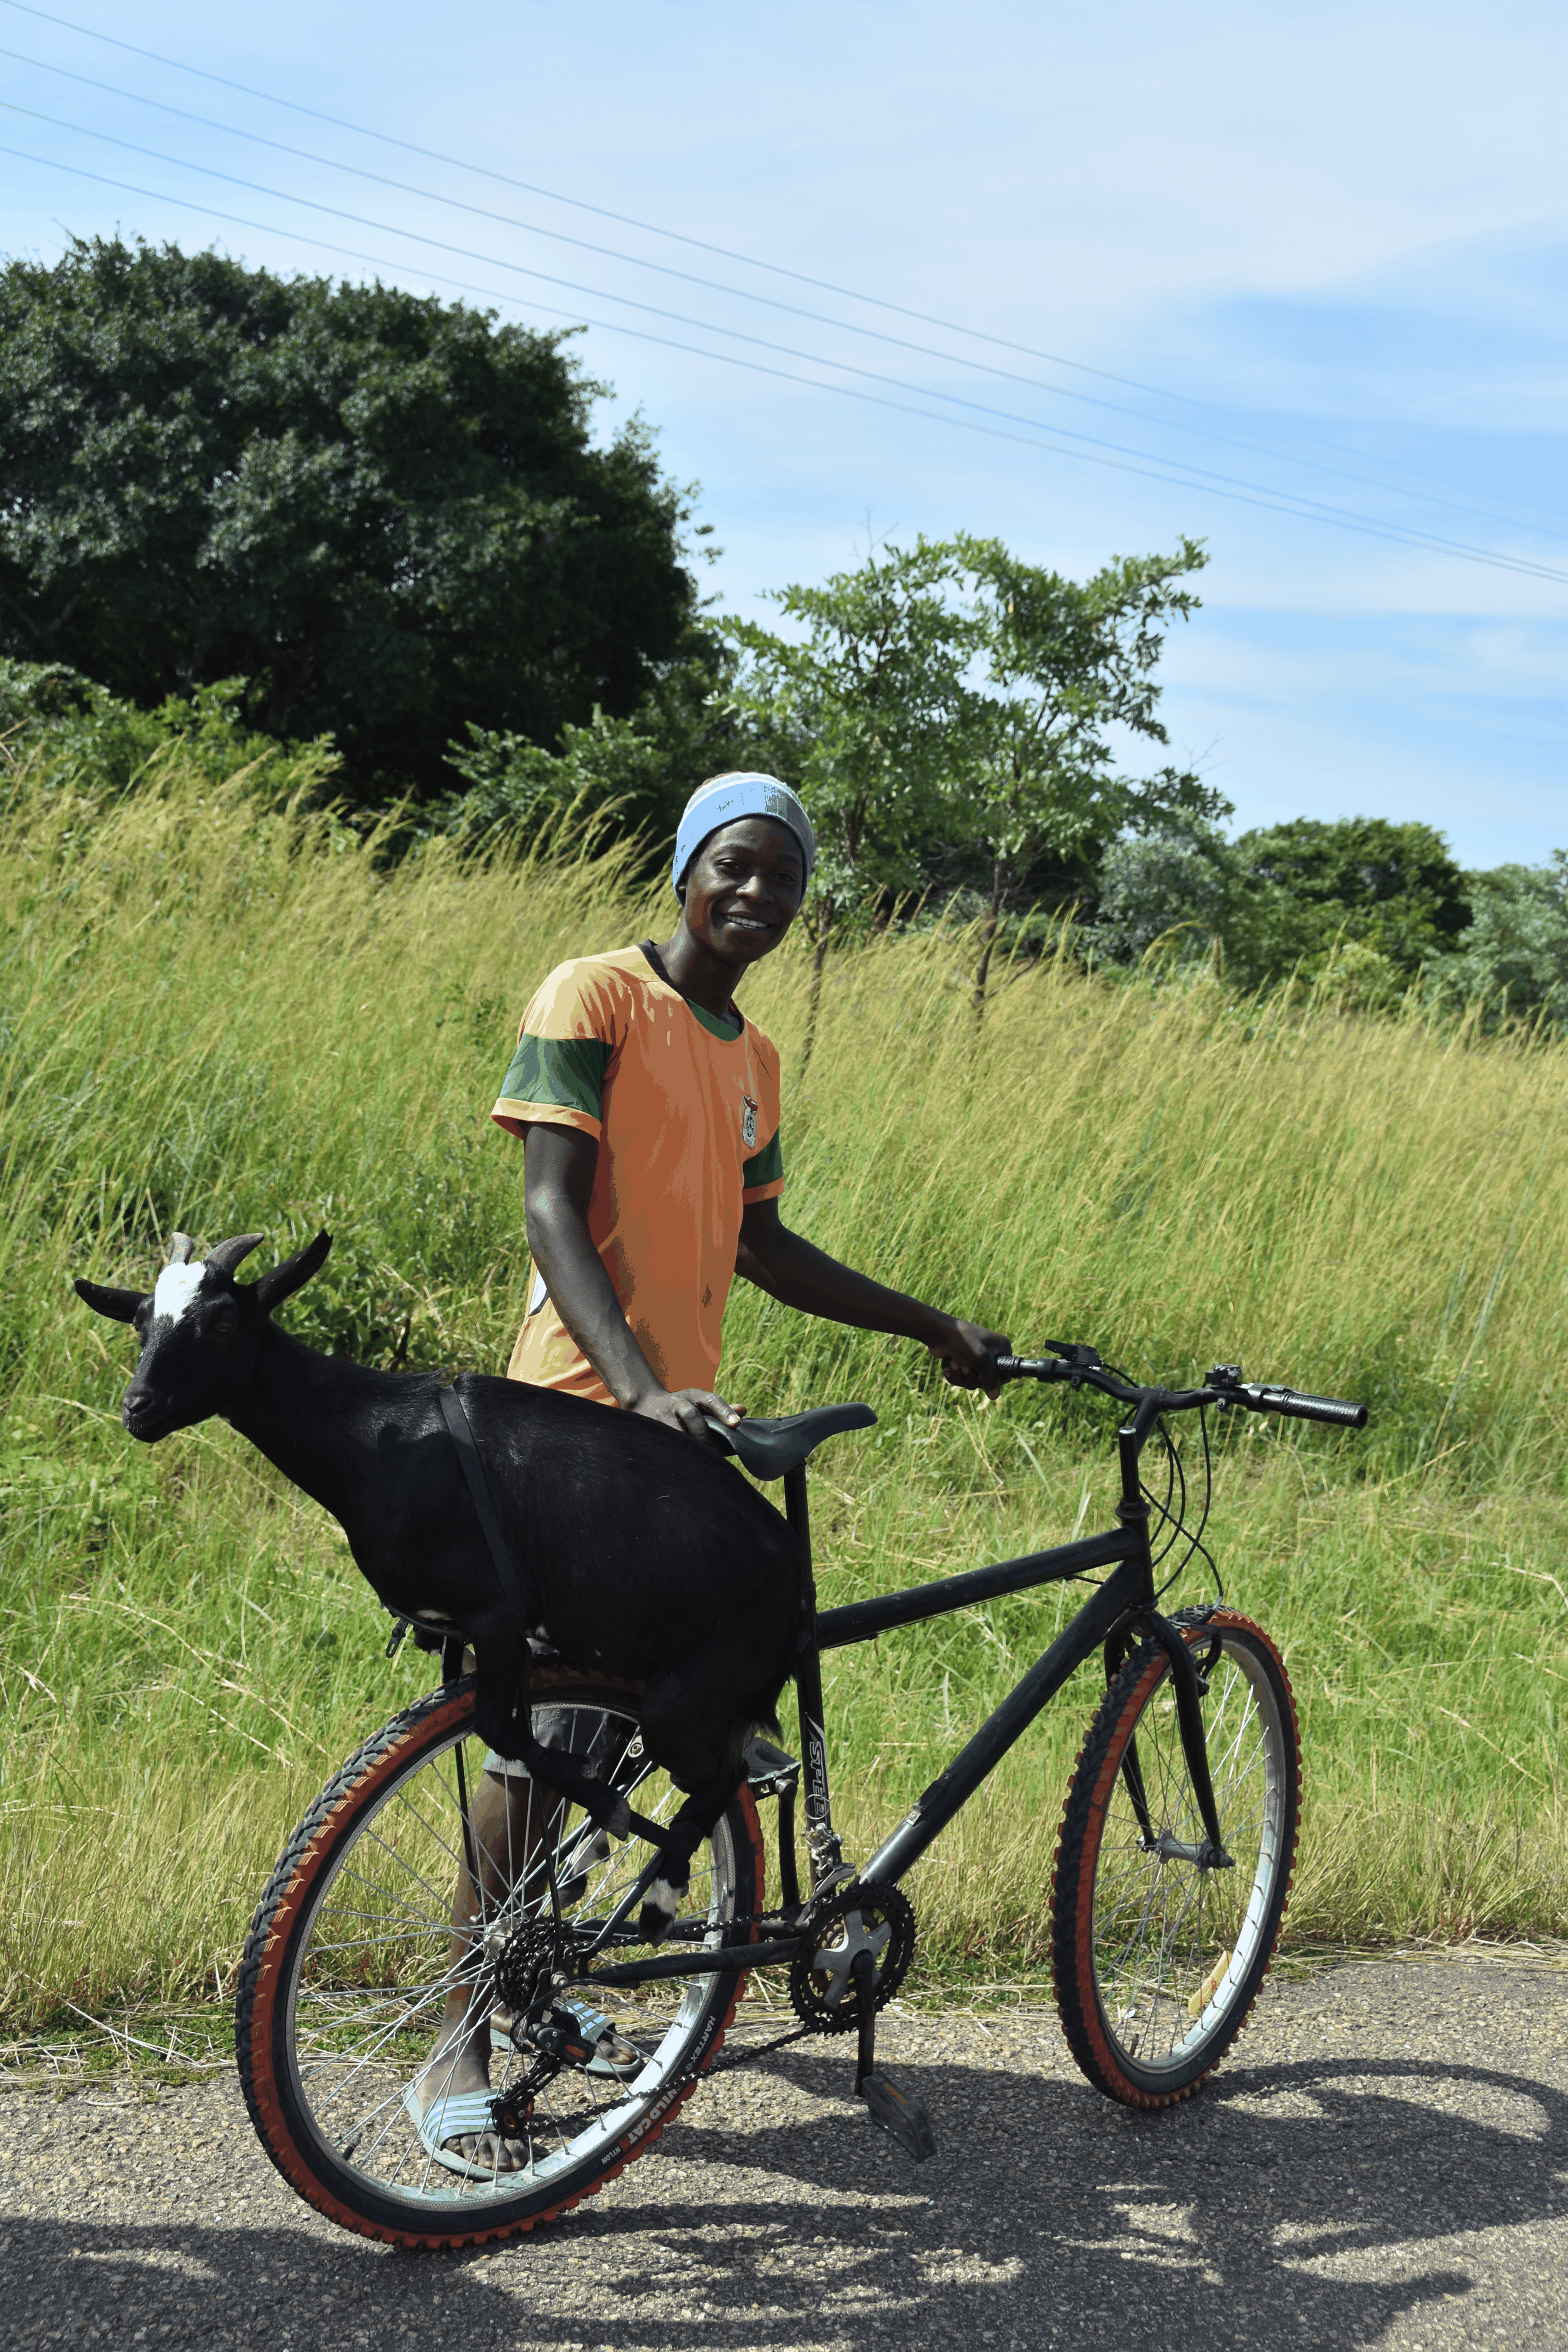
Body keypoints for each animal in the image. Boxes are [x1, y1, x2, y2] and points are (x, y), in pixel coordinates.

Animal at [76, 1232, 799, 1929]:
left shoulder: (497, 1614)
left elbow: (499, 1728)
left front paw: (599, 1799)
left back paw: (662, 1893)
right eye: (140, 1324)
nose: (138, 1408)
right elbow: (499, 1732)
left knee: (722, 1775)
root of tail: (795, 1575)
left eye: (222, 1322)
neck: (373, 1439)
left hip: (692, 1692)